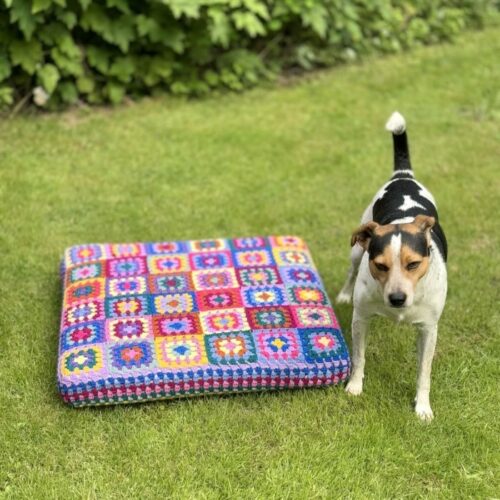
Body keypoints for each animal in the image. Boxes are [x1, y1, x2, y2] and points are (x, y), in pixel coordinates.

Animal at [338, 111, 448, 420]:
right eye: (379, 265)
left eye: (414, 264)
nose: (397, 299)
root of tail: (403, 176)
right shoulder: (361, 318)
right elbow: (359, 357)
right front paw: (354, 387)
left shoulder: (428, 329)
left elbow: (424, 372)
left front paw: (422, 407)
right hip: (356, 249)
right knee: (351, 269)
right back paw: (343, 293)